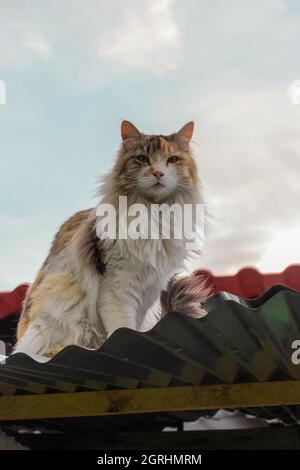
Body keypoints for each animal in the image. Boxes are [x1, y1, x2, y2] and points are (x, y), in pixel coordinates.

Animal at [15, 120, 205, 356]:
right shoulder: (117, 289)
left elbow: (134, 328)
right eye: (142, 159)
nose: (158, 173)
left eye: (173, 160)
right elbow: (122, 329)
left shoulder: (149, 291)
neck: (155, 216)